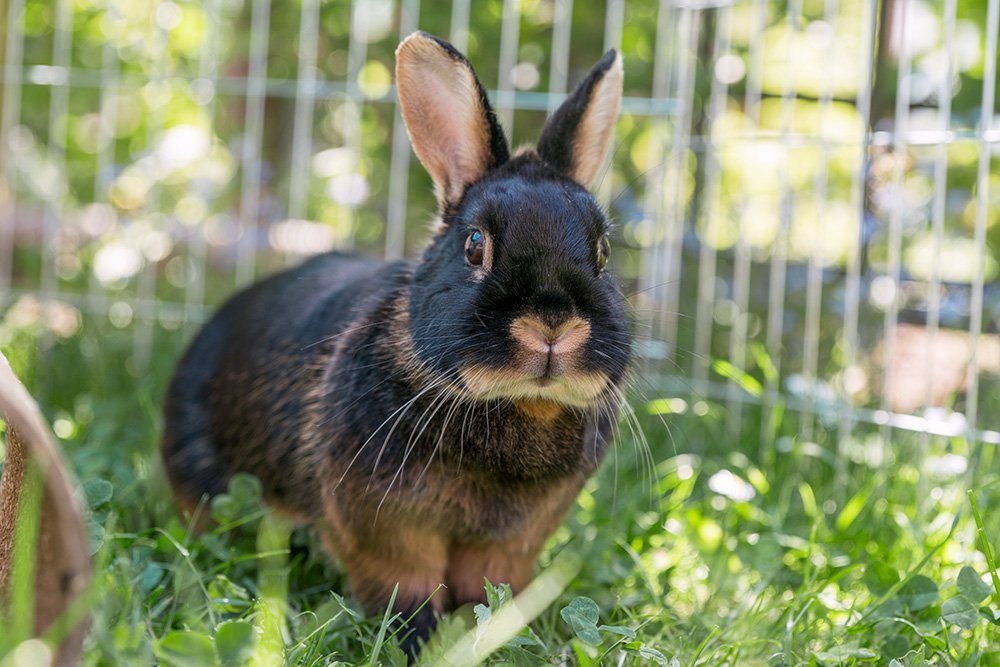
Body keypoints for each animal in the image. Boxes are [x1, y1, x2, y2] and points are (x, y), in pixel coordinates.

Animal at [161, 31, 630, 655]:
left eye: (603, 251)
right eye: (475, 245)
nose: (553, 323)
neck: (515, 405)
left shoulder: (512, 543)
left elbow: (491, 587)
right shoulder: (383, 527)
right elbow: (402, 584)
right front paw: (418, 641)